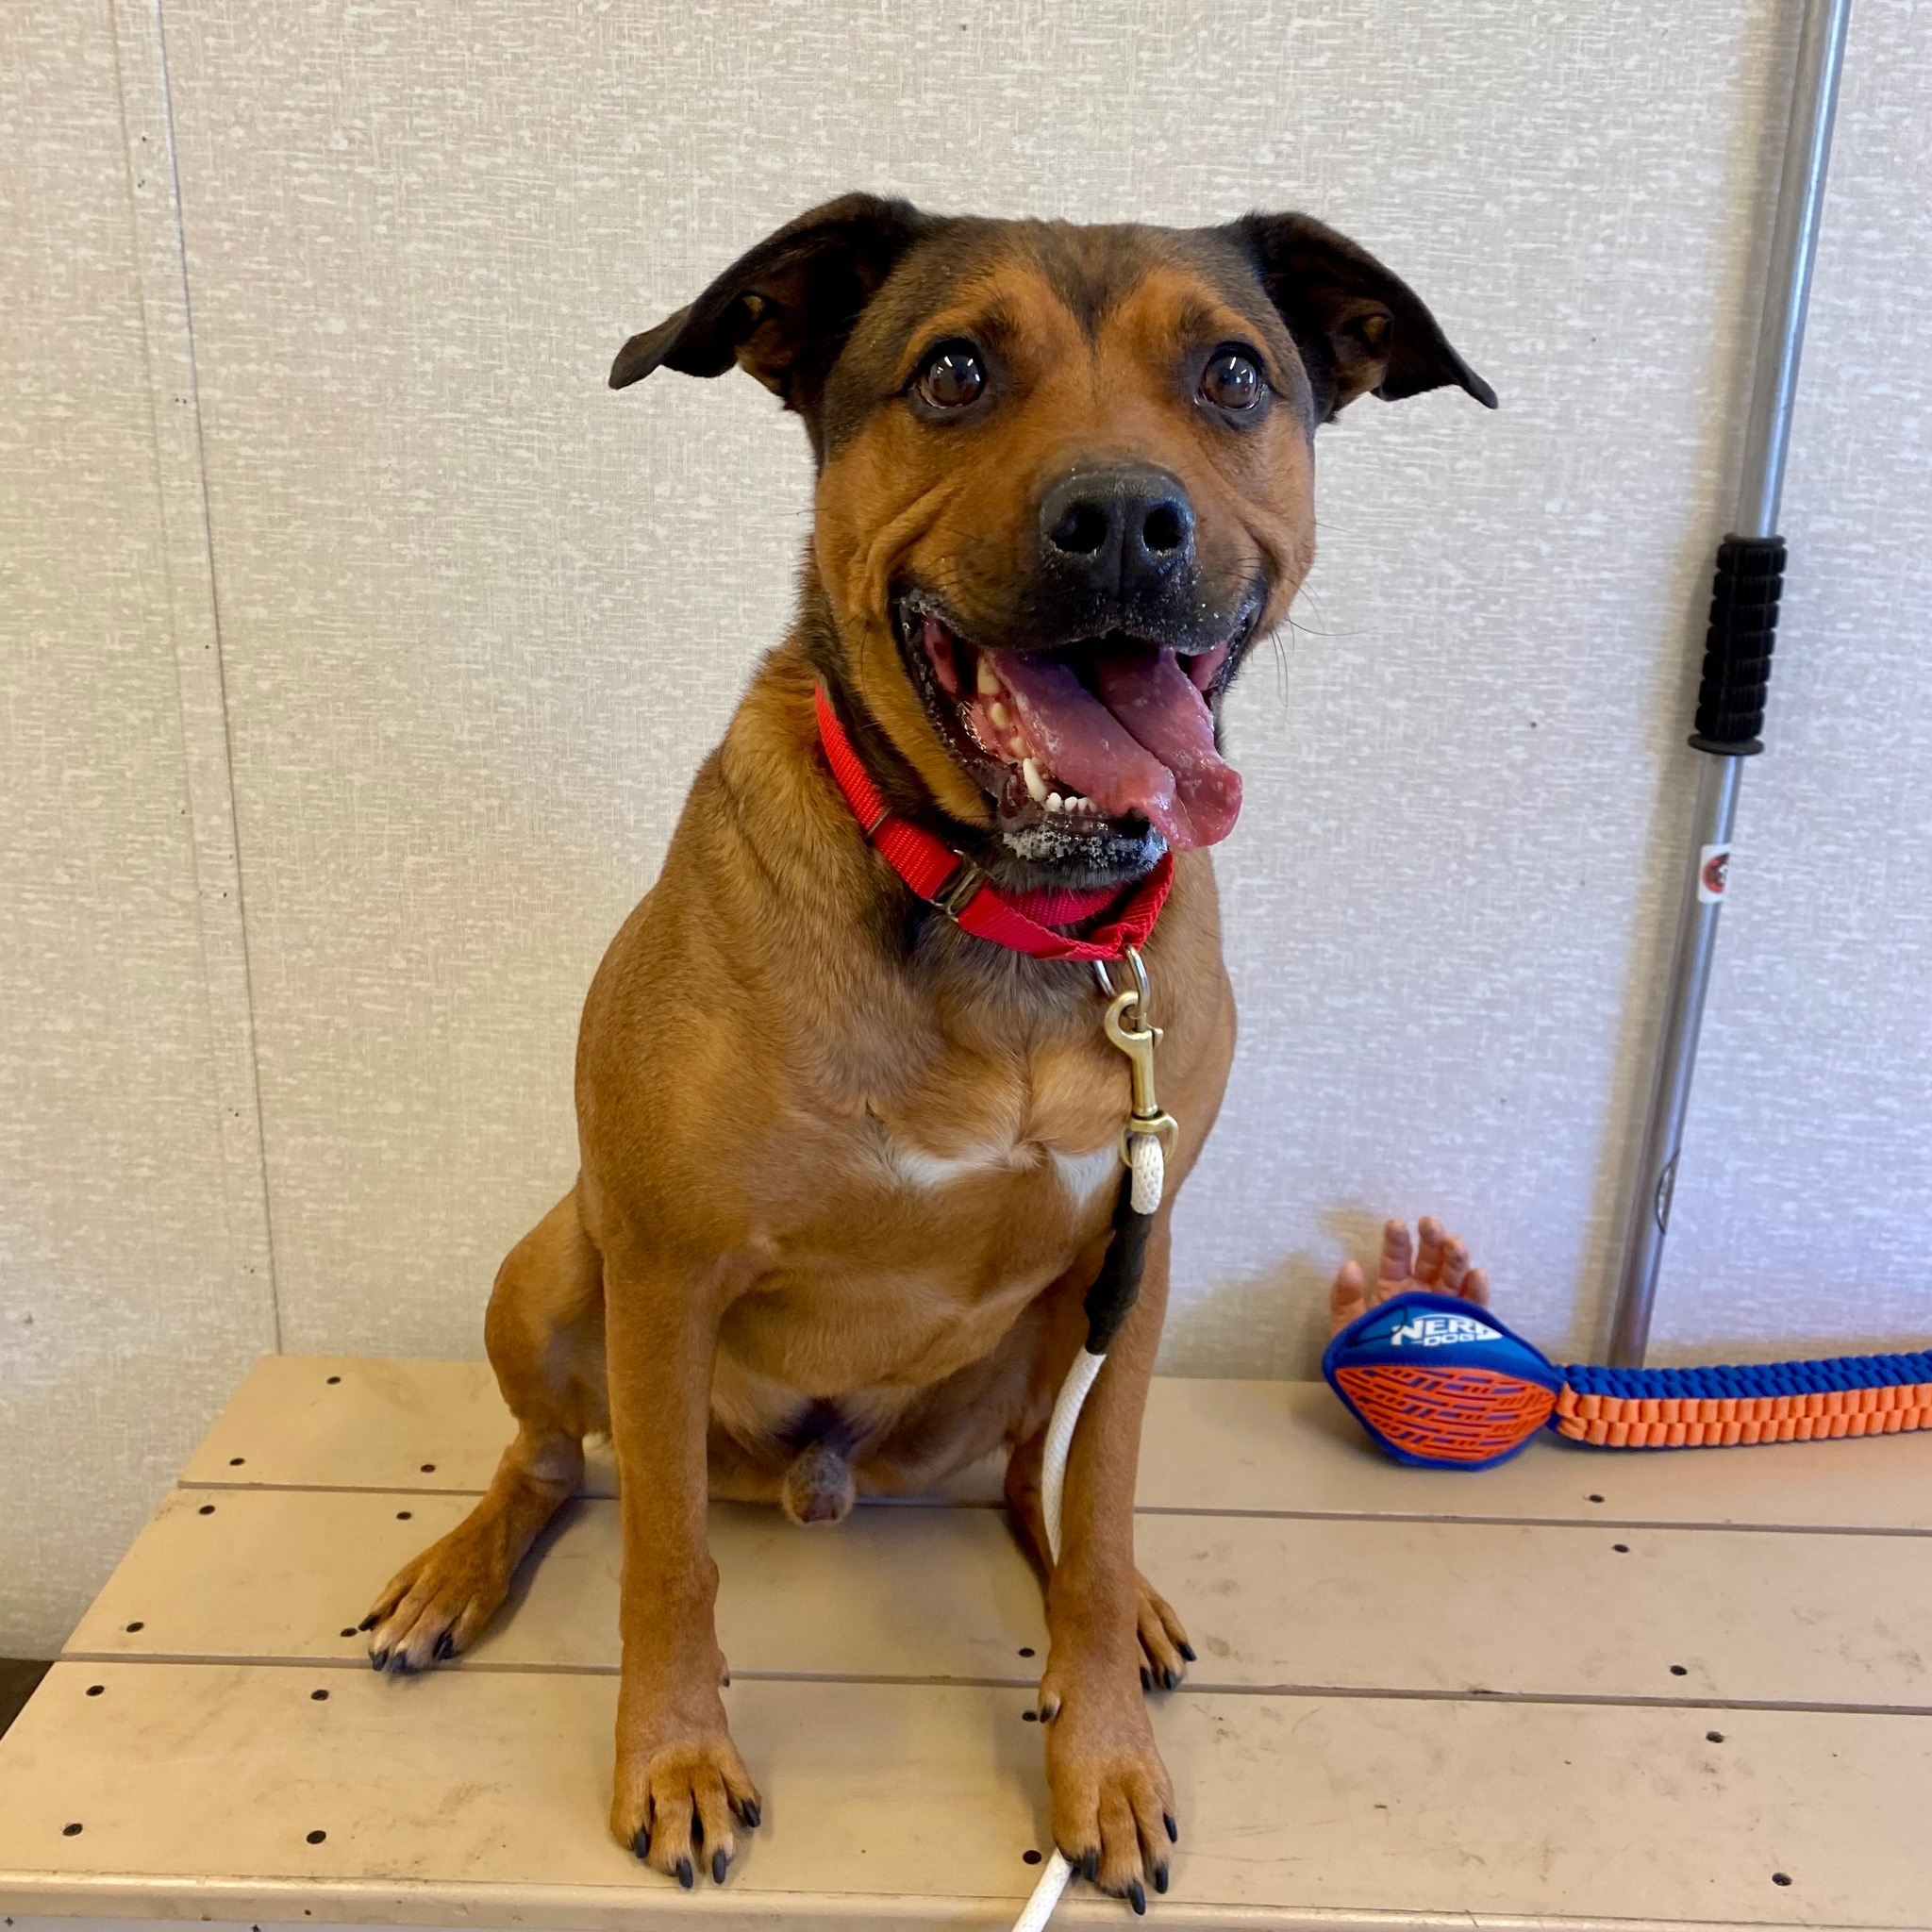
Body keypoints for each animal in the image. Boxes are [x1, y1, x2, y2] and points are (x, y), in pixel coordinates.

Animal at [363, 192, 1483, 1901]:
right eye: (953, 370)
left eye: (1232, 374)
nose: (1124, 521)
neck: (1011, 916)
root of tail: (819, 1474)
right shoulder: (665, 1267)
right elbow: (666, 1557)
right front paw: (673, 1755)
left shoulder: (1140, 1253)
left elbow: (1098, 1510)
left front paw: (1103, 1755)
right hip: (560, 1261)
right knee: (557, 1460)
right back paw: (458, 1571)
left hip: (1048, 1337)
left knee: (1036, 1484)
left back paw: (1119, 1607)